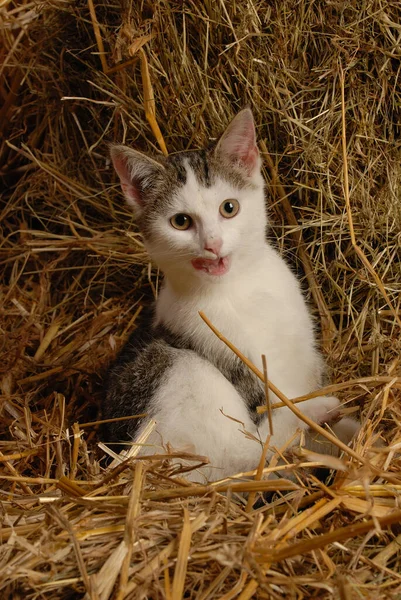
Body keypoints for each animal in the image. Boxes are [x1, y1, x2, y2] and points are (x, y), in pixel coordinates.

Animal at [104, 108, 360, 482]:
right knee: (248, 458)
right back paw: (317, 413)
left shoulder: (301, 356)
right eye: (180, 222)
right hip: (172, 371)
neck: (239, 288)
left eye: (229, 208)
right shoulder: (224, 352)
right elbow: (266, 416)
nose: (213, 244)